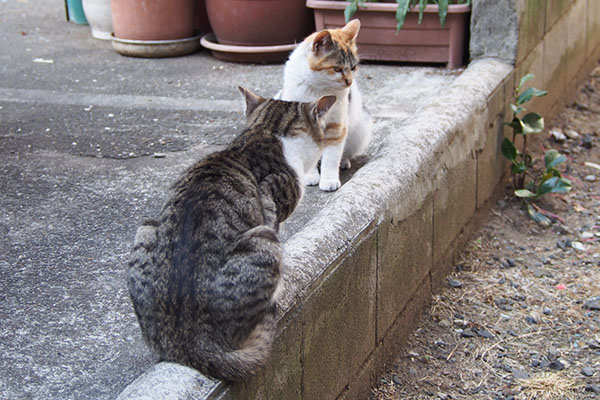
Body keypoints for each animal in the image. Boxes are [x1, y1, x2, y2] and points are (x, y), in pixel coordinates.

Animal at [278, 19, 372, 191]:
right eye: (337, 68)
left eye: (353, 67)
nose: (349, 82)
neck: (318, 89)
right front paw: (310, 176)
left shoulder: (337, 125)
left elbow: (331, 157)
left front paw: (328, 181)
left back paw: (343, 162)